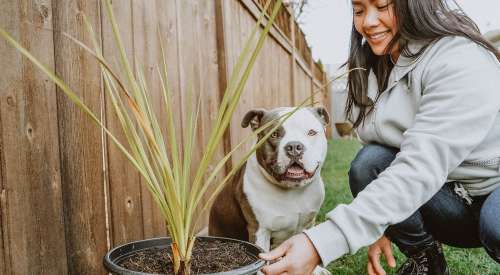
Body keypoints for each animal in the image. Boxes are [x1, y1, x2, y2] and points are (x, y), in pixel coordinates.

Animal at [208, 107, 330, 275]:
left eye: (311, 132)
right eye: (274, 134)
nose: (294, 147)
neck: (292, 192)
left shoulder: (309, 223)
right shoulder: (259, 231)